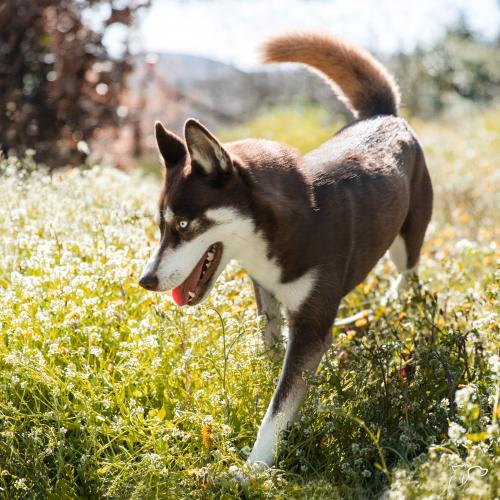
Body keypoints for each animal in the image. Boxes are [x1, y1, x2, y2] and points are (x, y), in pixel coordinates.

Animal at [140, 31, 434, 468]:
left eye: (184, 225)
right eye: (162, 225)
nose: (146, 280)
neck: (278, 231)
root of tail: (382, 115)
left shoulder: (311, 329)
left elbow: (277, 411)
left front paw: (253, 469)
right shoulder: (266, 293)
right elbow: (272, 355)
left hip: (406, 240)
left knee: (407, 273)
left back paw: (396, 304)